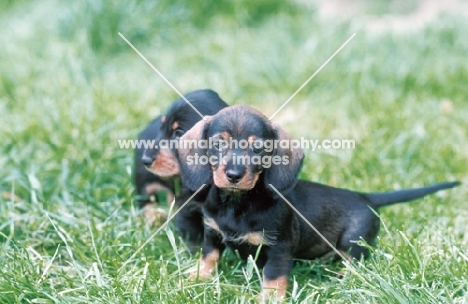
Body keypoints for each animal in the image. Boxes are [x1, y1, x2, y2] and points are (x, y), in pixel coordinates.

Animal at [177, 105, 458, 300]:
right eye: (218, 143)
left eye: (258, 149)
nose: (234, 175)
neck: (237, 205)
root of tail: (365, 196)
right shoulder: (212, 232)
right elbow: (209, 256)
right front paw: (197, 277)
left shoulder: (279, 246)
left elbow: (273, 275)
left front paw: (269, 297)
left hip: (354, 240)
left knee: (355, 261)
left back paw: (341, 277)